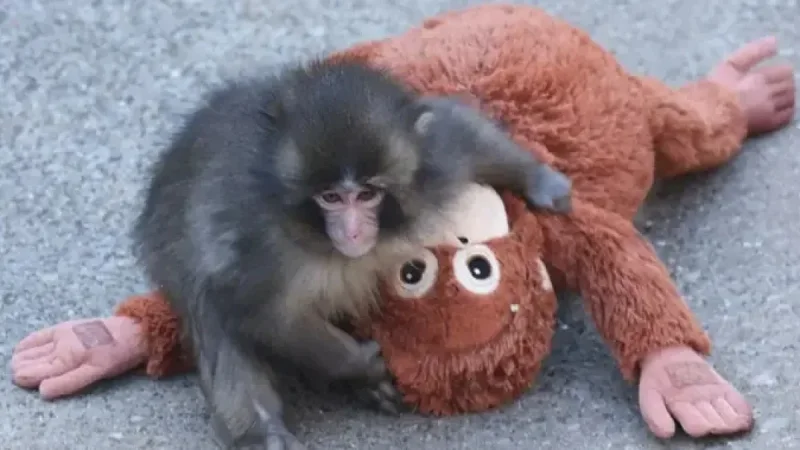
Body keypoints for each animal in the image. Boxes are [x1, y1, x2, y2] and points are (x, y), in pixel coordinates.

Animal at [131, 59, 571, 449]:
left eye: (366, 194)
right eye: (330, 198)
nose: (354, 230)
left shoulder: (433, 164)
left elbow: (458, 130)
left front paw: (540, 180)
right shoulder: (256, 243)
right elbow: (262, 313)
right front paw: (359, 364)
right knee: (210, 305)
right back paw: (262, 433)